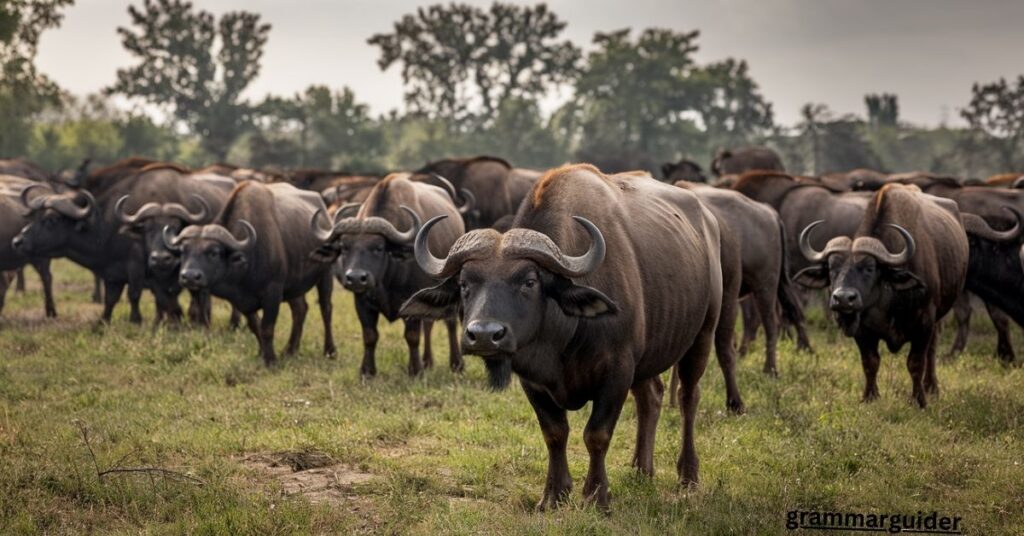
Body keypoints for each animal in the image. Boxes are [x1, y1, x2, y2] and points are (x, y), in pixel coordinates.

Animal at [166, 182, 335, 366]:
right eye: (183, 251)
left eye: (214, 252)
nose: (189, 277)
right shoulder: (242, 300)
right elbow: (256, 327)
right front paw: (262, 354)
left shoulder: (273, 292)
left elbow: (267, 328)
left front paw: (271, 360)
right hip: (295, 284)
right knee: (300, 310)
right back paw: (290, 350)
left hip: (326, 273)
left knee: (326, 309)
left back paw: (329, 351)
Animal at [307, 174, 464, 379]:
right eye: (344, 247)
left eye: (379, 247)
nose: (356, 278)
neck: (387, 278)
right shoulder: (362, 302)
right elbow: (369, 336)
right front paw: (367, 371)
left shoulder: (411, 301)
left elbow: (412, 336)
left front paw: (415, 370)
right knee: (429, 324)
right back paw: (428, 361)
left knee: (450, 323)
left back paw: (456, 364)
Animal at [397, 165, 720, 512]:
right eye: (464, 284)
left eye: (529, 281)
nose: (484, 335)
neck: (562, 341)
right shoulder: (533, 381)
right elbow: (554, 433)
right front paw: (554, 494)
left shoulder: (617, 371)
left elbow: (596, 435)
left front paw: (596, 496)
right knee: (651, 397)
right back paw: (640, 470)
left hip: (703, 333)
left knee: (688, 397)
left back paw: (688, 474)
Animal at [790, 184, 966, 407]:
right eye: (831, 268)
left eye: (869, 268)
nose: (843, 299)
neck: (888, 300)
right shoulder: (862, 330)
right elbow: (870, 362)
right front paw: (869, 397)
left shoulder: (924, 323)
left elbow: (916, 362)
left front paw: (918, 400)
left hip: (938, 318)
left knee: (932, 351)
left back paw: (931, 387)